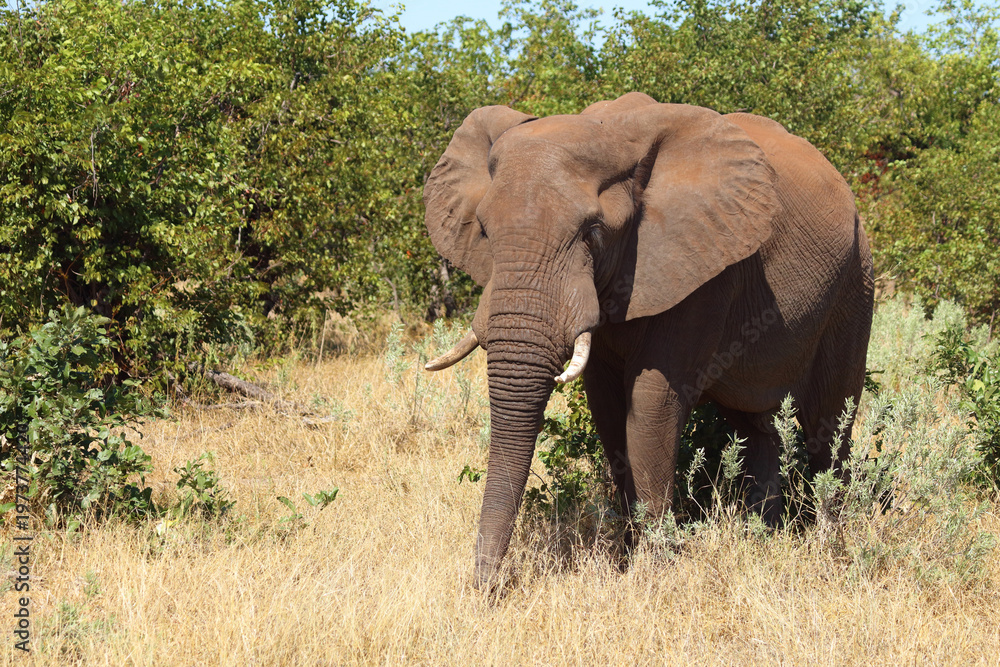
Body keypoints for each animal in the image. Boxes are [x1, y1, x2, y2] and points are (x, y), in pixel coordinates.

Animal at [422, 92, 874, 589]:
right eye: (484, 230)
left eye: (593, 232)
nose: (489, 589)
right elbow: (607, 408)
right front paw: (627, 558)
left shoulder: (702, 270)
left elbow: (652, 405)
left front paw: (653, 572)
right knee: (754, 426)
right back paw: (762, 537)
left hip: (854, 283)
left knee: (827, 424)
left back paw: (831, 545)